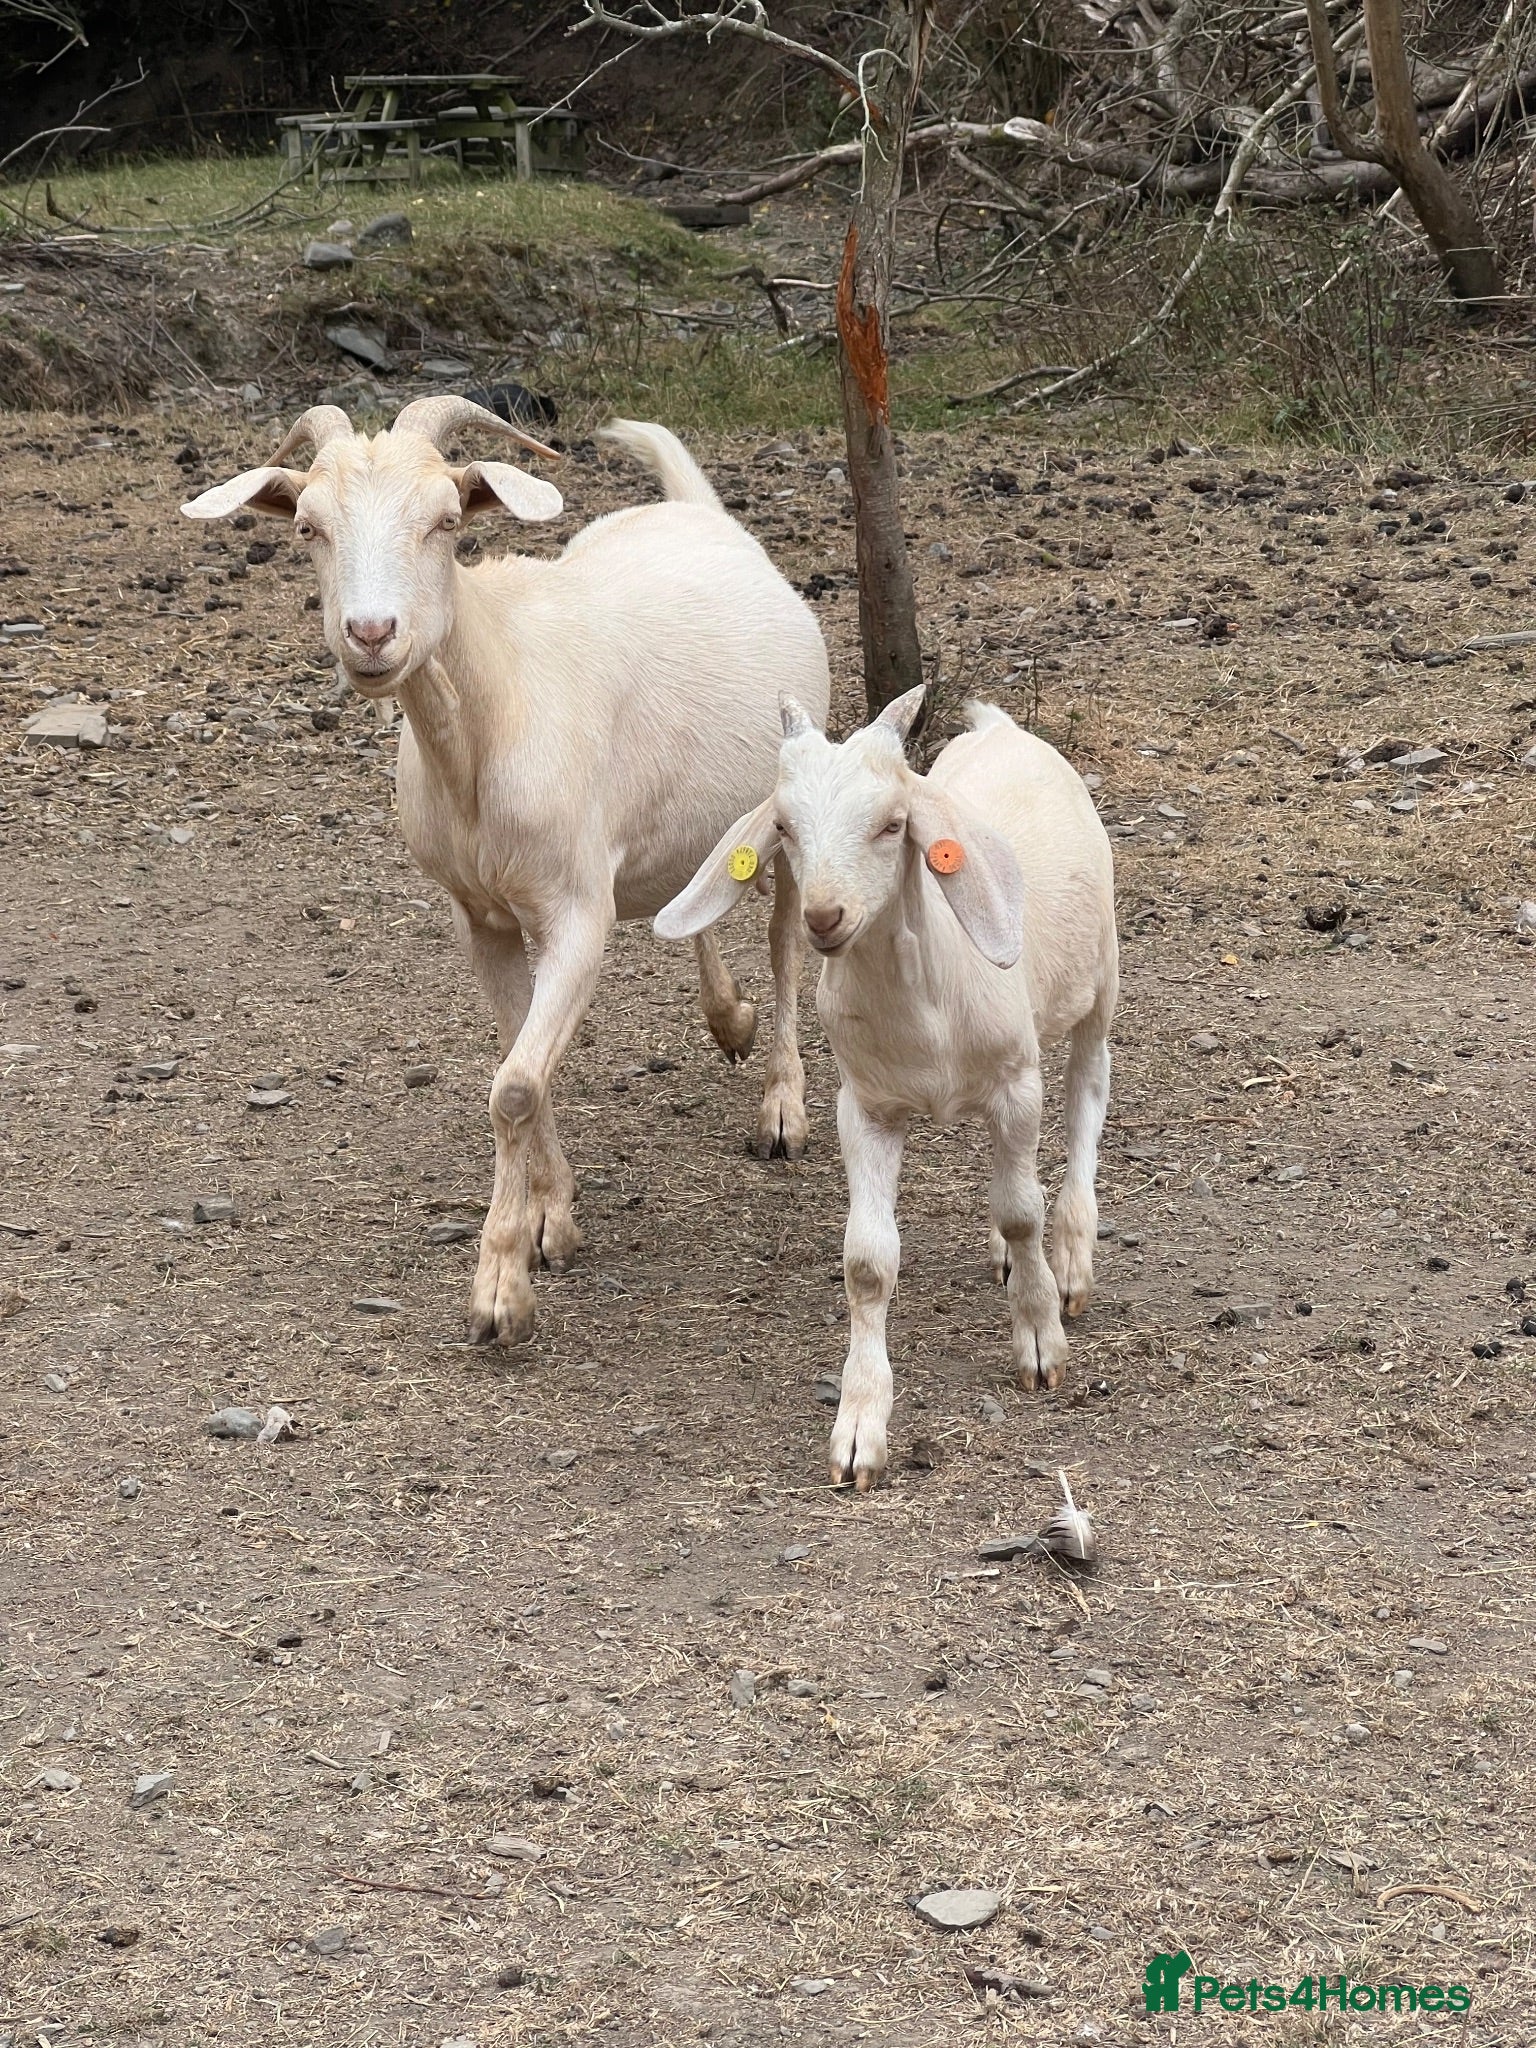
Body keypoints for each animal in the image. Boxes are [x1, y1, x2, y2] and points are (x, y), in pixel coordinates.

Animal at [183, 398, 830, 1345]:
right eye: (308, 527)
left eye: (447, 521)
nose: (370, 635)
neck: (490, 716)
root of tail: (699, 510)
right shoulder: (480, 915)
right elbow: (522, 1061)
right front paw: (550, 1221)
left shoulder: (575, 911)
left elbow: (516, 1086)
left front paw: (499, 1290)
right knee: (695, 901)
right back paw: (728, 1020)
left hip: (792, 798)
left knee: (785, 938)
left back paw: (782, 1106)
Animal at [657, 688, 1117, 1489]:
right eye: (784, 827)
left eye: (893, 824)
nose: (823, 916)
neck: (929, 997)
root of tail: (1003, 728)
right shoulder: (864, 1106)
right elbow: (868, 1263)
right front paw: (858, 1430)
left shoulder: (1015, 1085)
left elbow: (1022, 1211)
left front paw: (1039, 1341)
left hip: (1101, 980)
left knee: (1087, 1096)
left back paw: (1071, 1256)